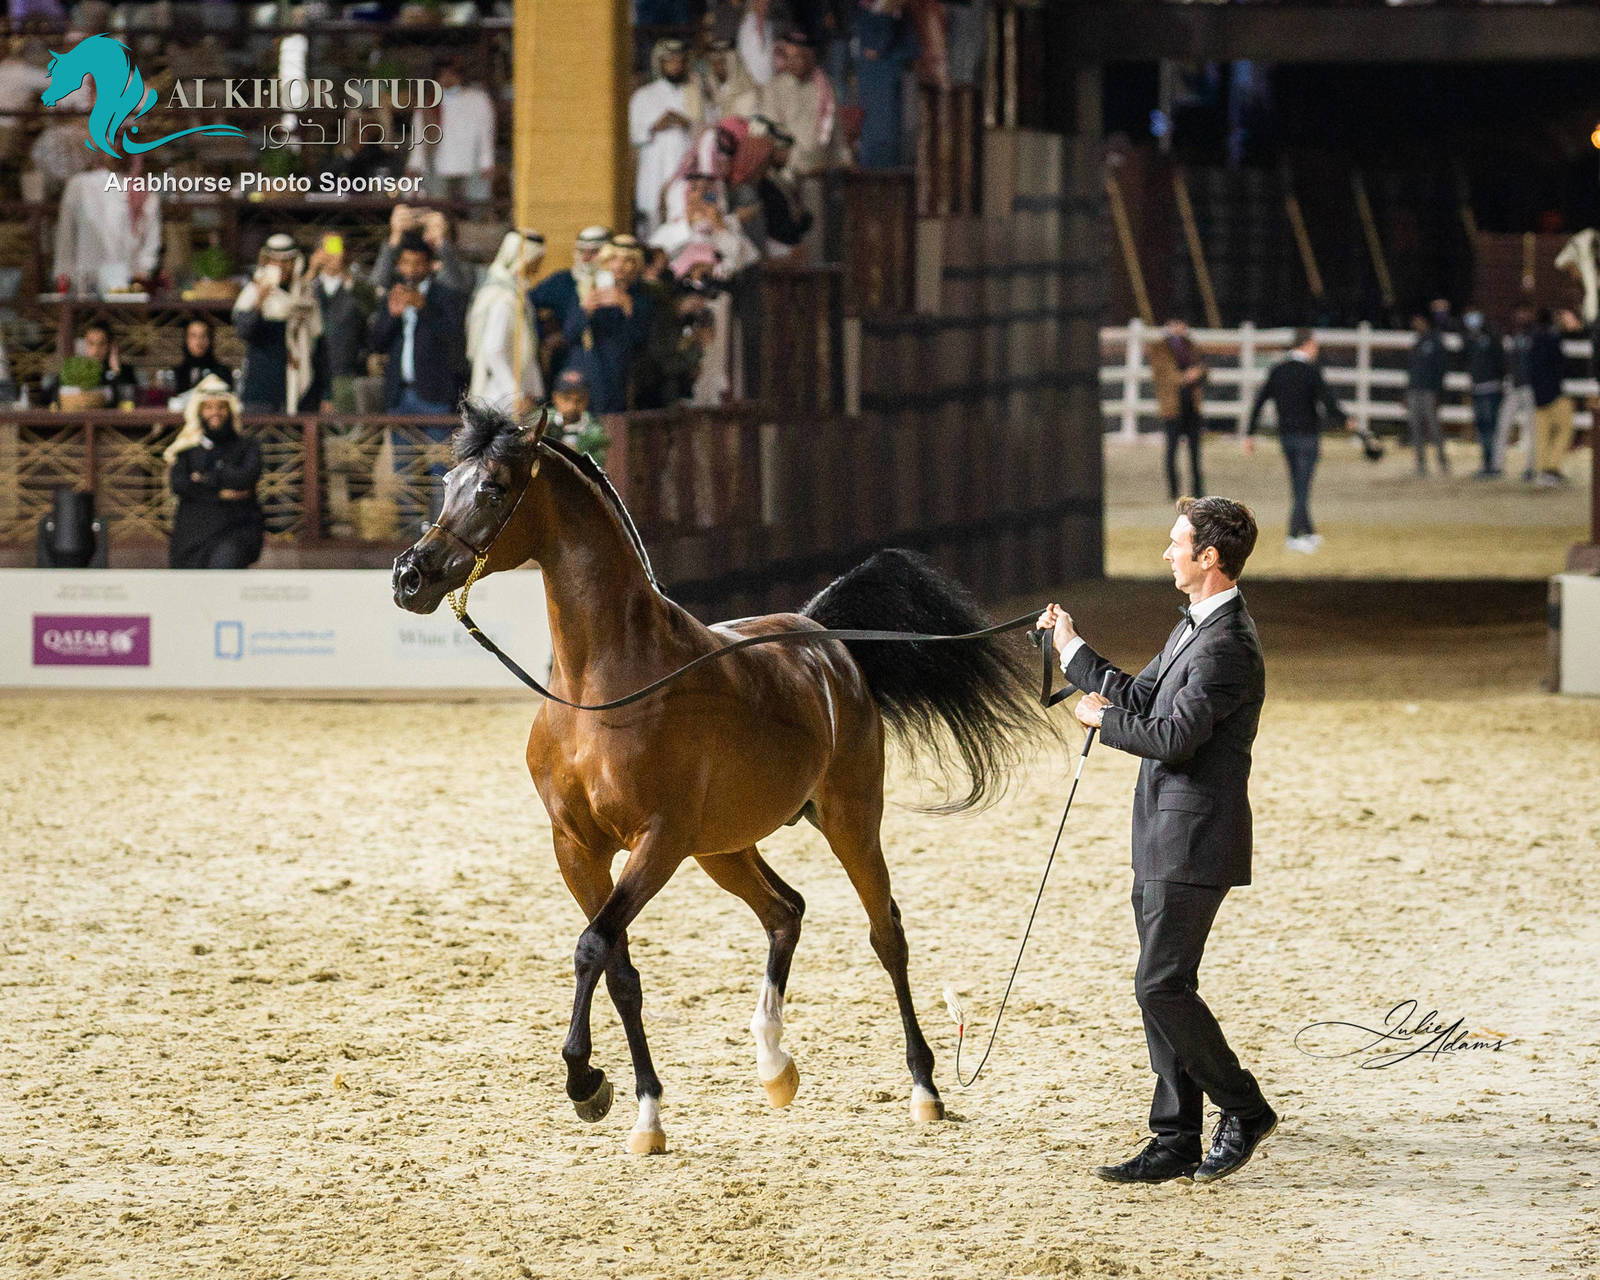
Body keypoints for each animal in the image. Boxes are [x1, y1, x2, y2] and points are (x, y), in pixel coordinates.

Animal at [392, 402, 1053, 1154]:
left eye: (494, 487)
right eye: (447, 482)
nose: (409, 577)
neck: (600, 690)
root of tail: (826, 639)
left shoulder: (658, 841)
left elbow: (592, 948)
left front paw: (587, 1084)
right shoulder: (577, 848)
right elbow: (618, 966)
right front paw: (641, 1112)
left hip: (849, 821)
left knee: (885, 933)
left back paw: (924, 1089)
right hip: (725, 848)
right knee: (785, 911)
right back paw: (774, 1066)